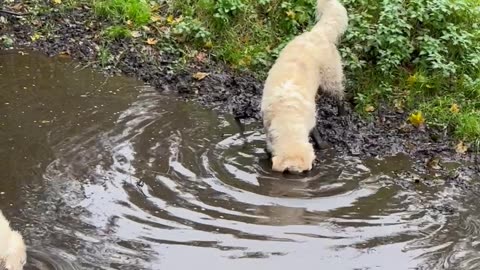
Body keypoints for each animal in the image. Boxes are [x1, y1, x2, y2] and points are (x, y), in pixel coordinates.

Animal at [260, 0, 346, 173]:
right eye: (287, 172)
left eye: (305, 172)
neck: (287, 113)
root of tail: (318, 32)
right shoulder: (266, 123)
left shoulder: (310, 120)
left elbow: (315, 133)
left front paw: (322, 145)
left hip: (330, 79)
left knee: (340, 96)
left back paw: (341, 113)